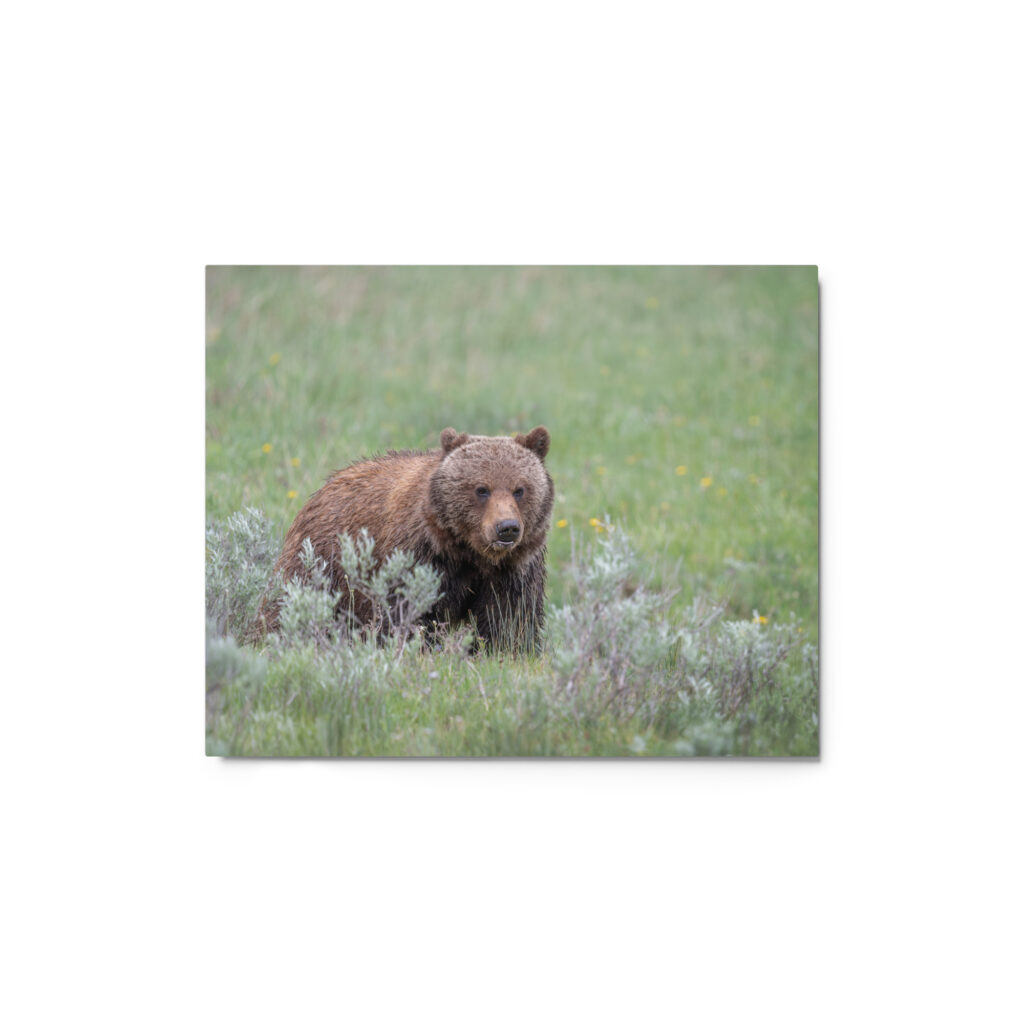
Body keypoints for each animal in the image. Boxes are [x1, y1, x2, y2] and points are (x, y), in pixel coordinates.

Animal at [259, 426, 554, 653]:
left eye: (520, 489)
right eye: (482, 489)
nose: (507, 528)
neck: (468, 552)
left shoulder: (513, 568)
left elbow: (509, 619)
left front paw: (506, 651)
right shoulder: (419, 555)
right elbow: (407, 611)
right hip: (321, 560)